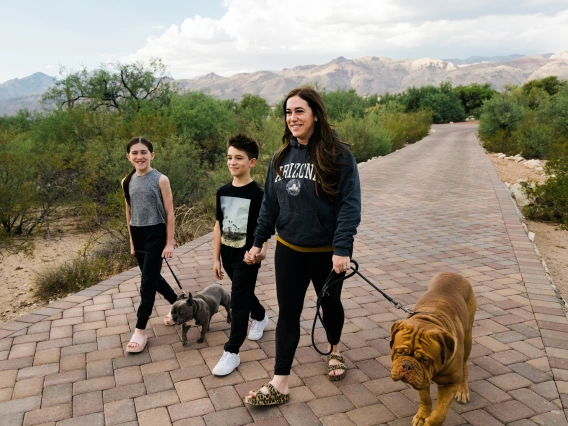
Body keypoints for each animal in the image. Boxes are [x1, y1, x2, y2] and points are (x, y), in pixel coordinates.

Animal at [390, 272, 474, 426]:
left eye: (425, 360)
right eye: (399, 352)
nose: (407, 366)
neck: (428, 321)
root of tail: (453, 273)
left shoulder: (449, 383)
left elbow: (439, 414)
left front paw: (429, 422)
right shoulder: (422, 378)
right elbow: (426, 398)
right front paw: (422, 416)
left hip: (468, 338)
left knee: (464, 365)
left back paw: (463, 390)